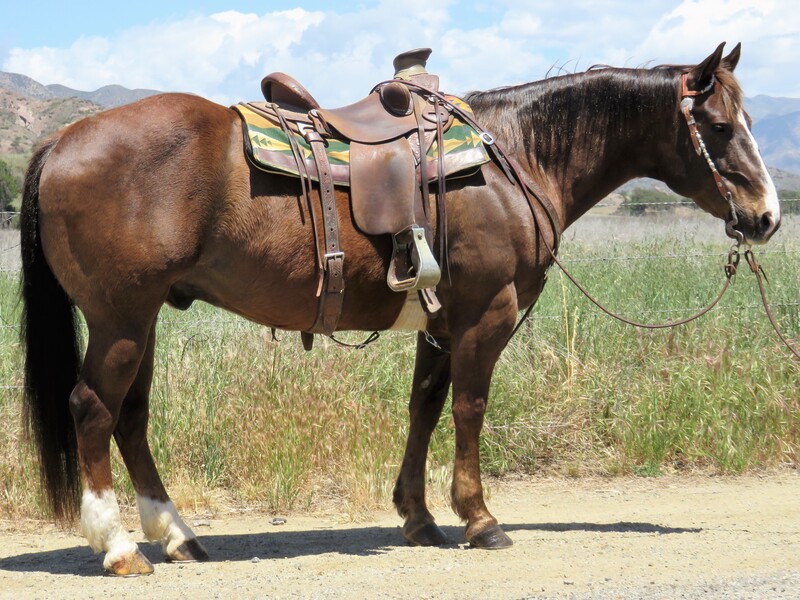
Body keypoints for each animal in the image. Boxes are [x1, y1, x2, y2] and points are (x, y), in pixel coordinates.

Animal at [20, 39, 780, 576]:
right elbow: (470, 408)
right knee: (94, 409)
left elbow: (424, 407)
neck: (514, 158)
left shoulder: (440, 322)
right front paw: (479, 518)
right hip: (121, 318)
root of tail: (63, 139)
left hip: (142, 317)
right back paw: (120, 546)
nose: (767, 216)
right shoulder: (486, 313)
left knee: (131, 417)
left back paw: (176, 535)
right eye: (718, 125)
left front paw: (419, 518)